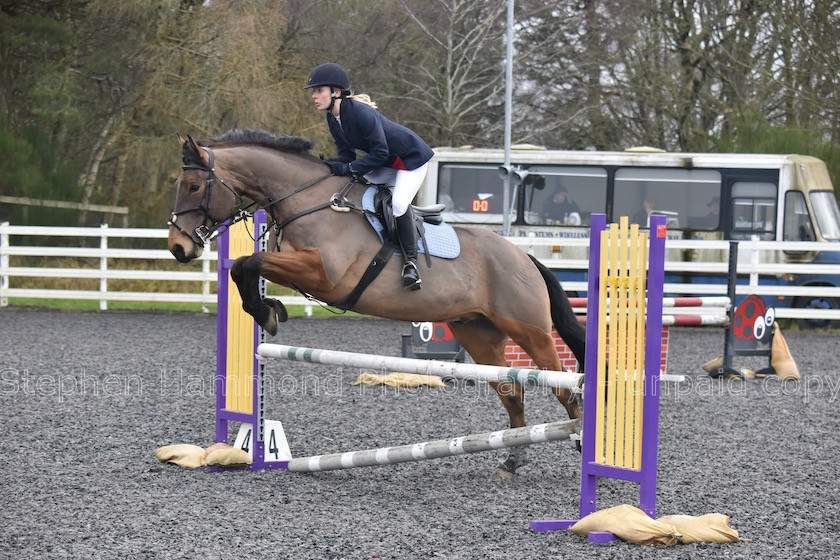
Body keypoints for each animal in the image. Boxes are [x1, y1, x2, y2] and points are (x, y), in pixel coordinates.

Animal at [168, 128, 588, 476]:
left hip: (530, 330)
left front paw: (267, 313)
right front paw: (269, 310)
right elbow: (245, 267)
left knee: (563, 388)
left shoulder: (324, 275)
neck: (309, 199)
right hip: (478, 334)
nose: (178, 248)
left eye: (194, 186)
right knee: (511, 393)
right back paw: (512, 460)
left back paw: (582, 444)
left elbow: (248, 262)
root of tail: (524, 258)